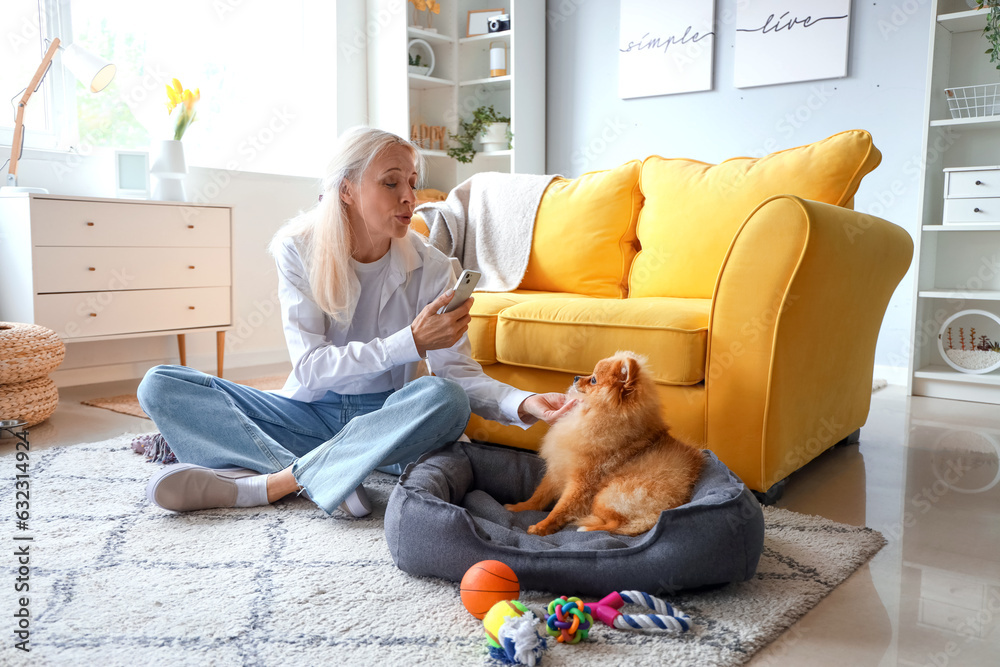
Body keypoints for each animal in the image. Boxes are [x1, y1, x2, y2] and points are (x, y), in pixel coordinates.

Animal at [500, 352, 704, 540]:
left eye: (593, 380)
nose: (576, 377)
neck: (594, 415)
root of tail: (662, 511)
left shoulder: (581, 483)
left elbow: (560, 508)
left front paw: (541, 527)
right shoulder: (560, 467)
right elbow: (539, 495)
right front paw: (520, 507)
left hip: (605, 496)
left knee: (617, 524)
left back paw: (588, 527)